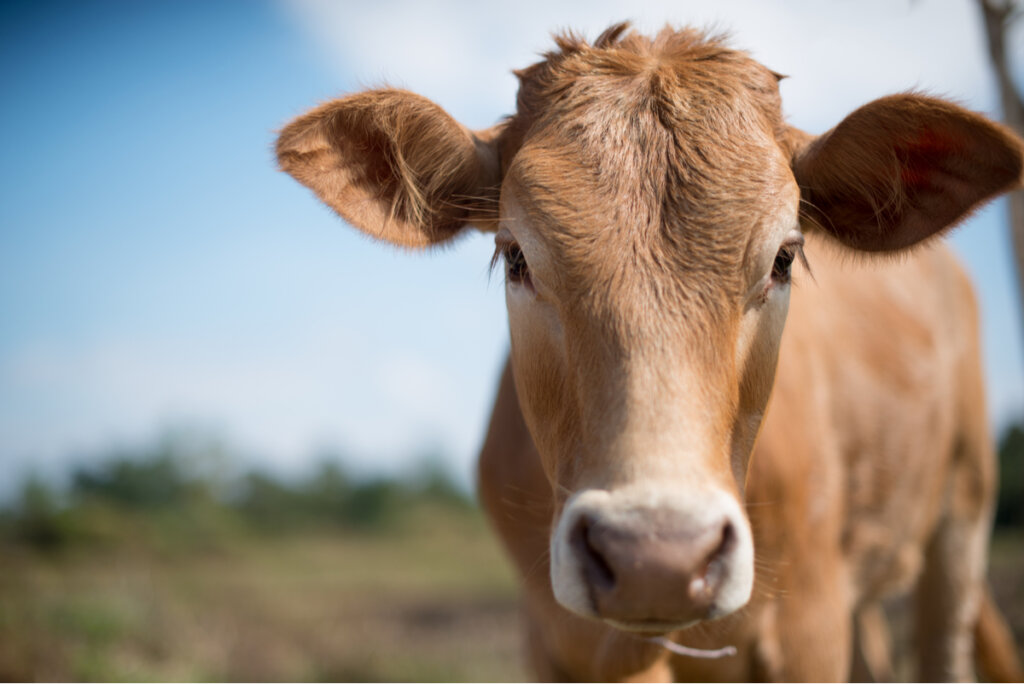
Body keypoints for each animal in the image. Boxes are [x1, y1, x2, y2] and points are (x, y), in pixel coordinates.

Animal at [278, 24, 1024, 679]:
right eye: (515, 256)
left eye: (784, 257)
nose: (656, 558)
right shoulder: (552, 640)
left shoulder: (810, 626)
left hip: (962, 515)